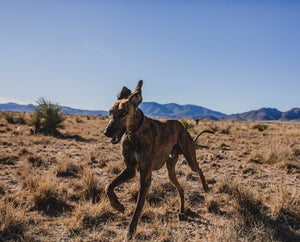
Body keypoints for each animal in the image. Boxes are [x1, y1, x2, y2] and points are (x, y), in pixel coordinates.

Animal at [104, 80, 210, 240]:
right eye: (110, 113)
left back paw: (205, 187)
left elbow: (138, 208)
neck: (135, 133)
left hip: (190, 158)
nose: (106, 132)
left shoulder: (145, 177)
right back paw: (182, 210)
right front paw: (118, 206)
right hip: (170, 171)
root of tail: (182, 126)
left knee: (200, 170)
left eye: (123, 113)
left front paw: (130, 231)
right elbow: (108, 186)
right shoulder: (130, 169)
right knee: (181, 189)